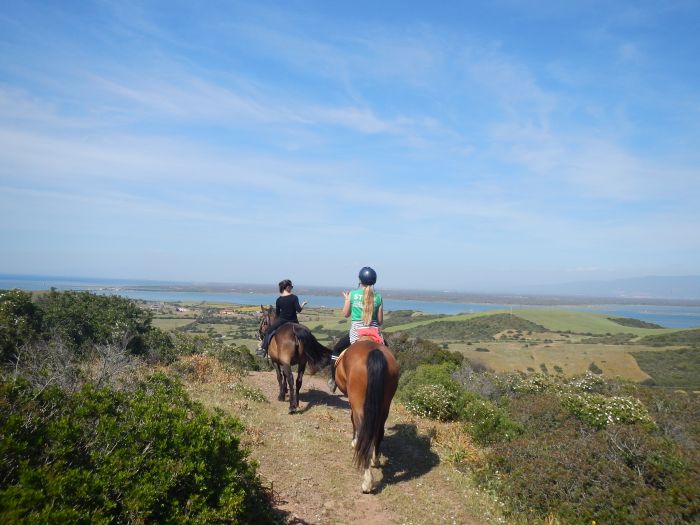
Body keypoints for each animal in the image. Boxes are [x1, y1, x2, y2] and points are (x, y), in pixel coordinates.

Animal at [334, 338, 400, 494]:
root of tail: (374, 351)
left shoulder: (352, 403)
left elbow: (352, 421)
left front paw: (354, 441)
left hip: (359, 403)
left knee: (363, 431)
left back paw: (367, 482)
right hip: (385, 405)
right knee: (379, 431)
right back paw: (375, 460)